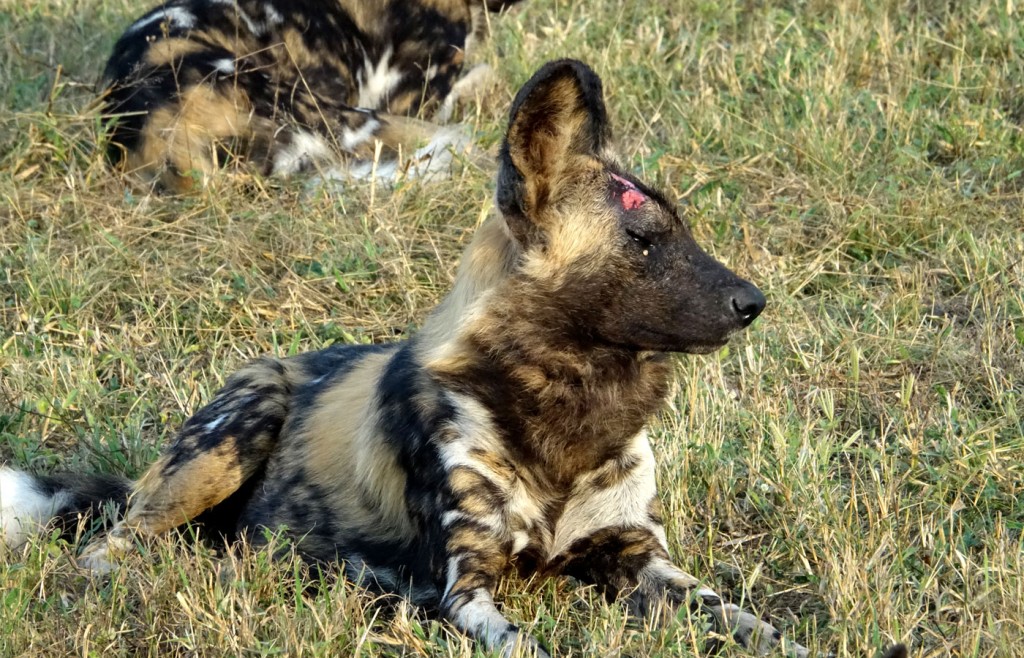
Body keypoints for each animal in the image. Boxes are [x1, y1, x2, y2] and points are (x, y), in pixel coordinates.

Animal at [6, 59, 897, 654]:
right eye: (644, 241)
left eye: (681, 231)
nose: (754, 301)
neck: (569, 410)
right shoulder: (465, 585)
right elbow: (523, 642)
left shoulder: (641, 560)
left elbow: (750, 622)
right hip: (233, 432)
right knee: (110, 550)